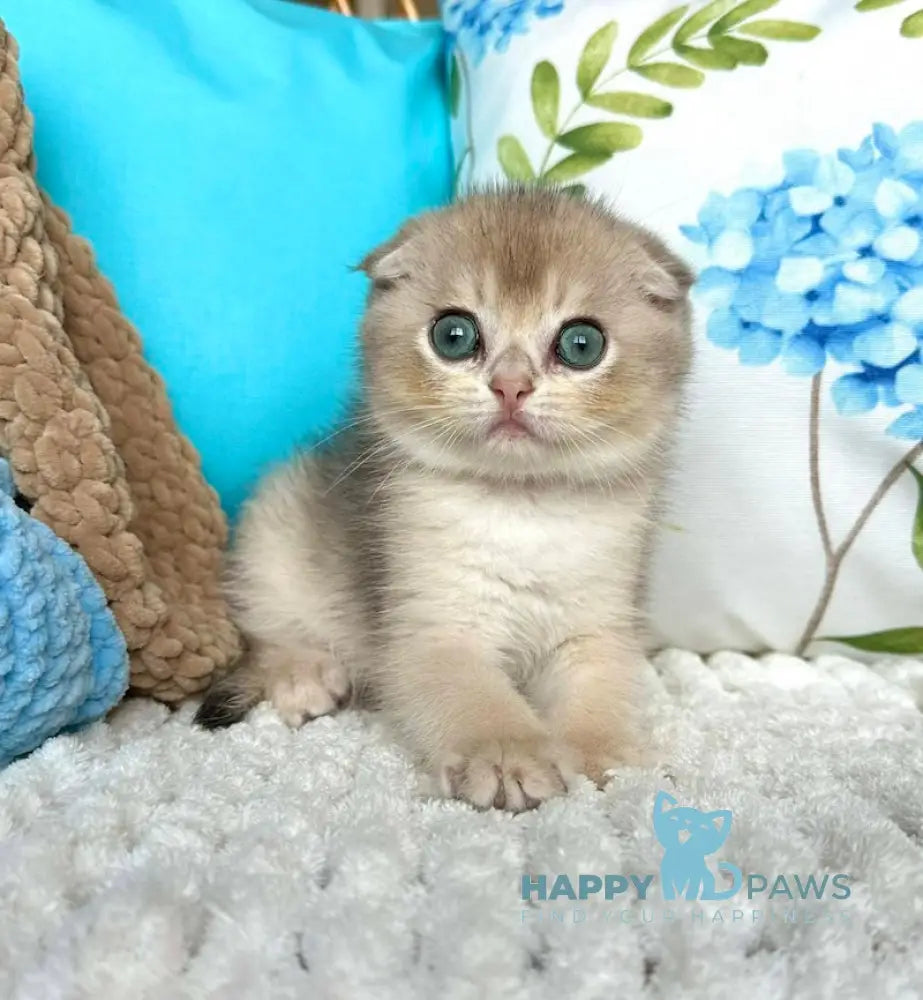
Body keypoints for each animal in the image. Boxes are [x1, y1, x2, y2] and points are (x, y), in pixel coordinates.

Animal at [197, 189, 692, 812]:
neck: (522, 510)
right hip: (275, 528)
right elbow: (475, 696)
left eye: (582, 345)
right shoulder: (433, 626)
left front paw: (609, 759)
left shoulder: (594, 628)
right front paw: (509, 755)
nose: (511, 386)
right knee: (266, 628)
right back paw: (302, 673)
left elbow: (600, 694)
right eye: (453, 336)